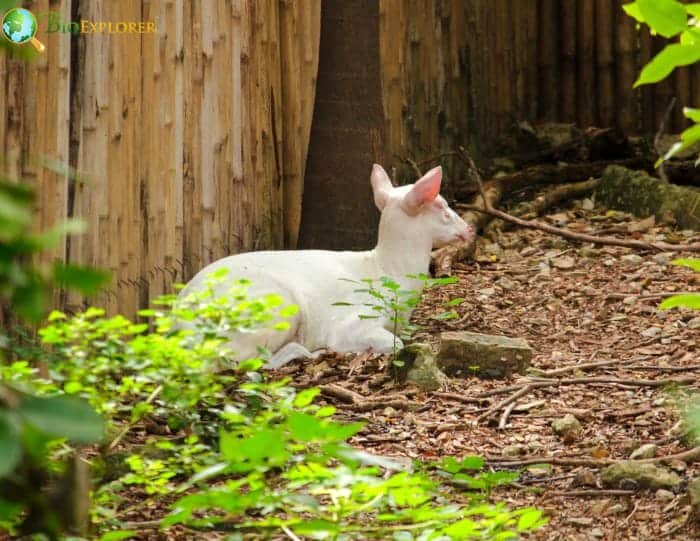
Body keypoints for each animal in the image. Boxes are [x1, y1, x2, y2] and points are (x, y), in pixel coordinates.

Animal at [179, 165, 476, 368]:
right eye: (443, 208)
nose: (469, 229)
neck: (386, 272)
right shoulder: (352, 320)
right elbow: (394, 343)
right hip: (274, 310)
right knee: (244, 363)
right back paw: (308, 352)